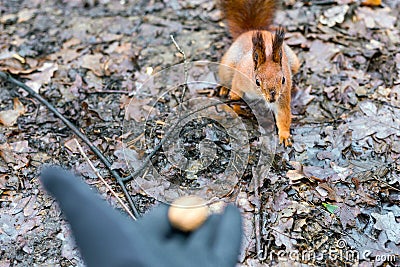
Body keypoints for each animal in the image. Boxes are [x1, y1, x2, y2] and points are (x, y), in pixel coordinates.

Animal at [219, 0, 300, 147]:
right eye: (257, 81)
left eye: (283, 80)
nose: (272, 97)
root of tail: (251, 31)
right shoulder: (240, 76)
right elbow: (236, 90)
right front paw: (234, 98)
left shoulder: (282, 96)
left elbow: (283, 115)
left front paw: (285, 135)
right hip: (227, 65)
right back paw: (224, 89)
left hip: (294, 62)